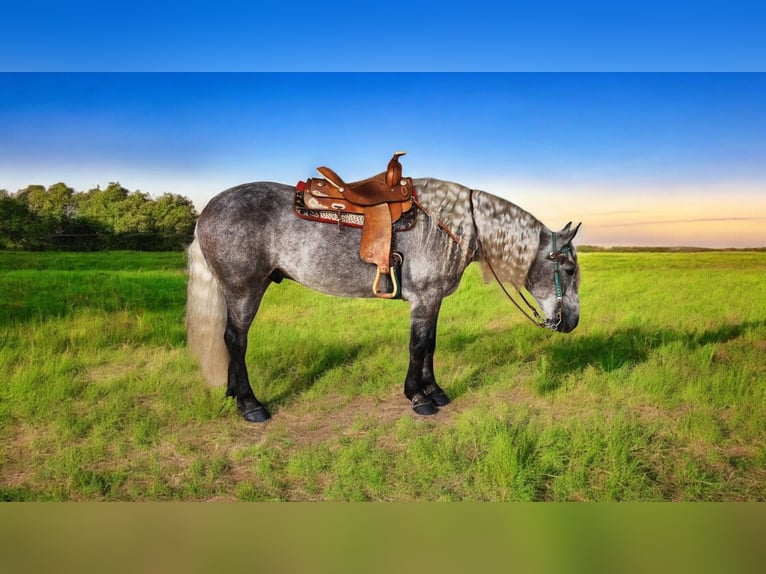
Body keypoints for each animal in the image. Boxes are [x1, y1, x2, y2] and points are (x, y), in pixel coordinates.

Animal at [186, 179, 584, 424]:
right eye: (567, 266)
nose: (571, 321)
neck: (449, 226)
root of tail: (208, 210)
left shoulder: (432, 299)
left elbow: (430, 345)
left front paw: (435, 391)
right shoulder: (423, 298)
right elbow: (418, 345)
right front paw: (418, 398)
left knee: (229, 341)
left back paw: (233, 393)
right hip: (244, 289)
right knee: (236, 341)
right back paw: (250, 405)